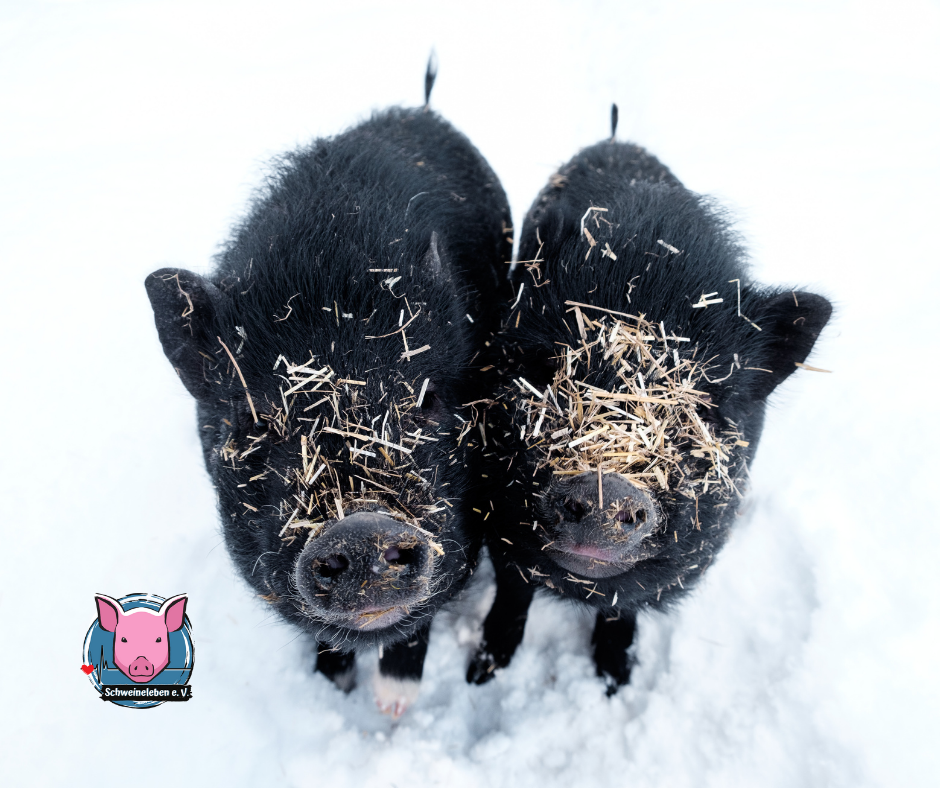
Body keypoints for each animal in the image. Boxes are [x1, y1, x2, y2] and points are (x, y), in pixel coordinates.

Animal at [468, 107, 828, 692]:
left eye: (702, 407)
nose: (606, 488)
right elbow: (513, 592)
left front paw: (615, 683)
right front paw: (481, 674)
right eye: (548, 371)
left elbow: (623, 608)